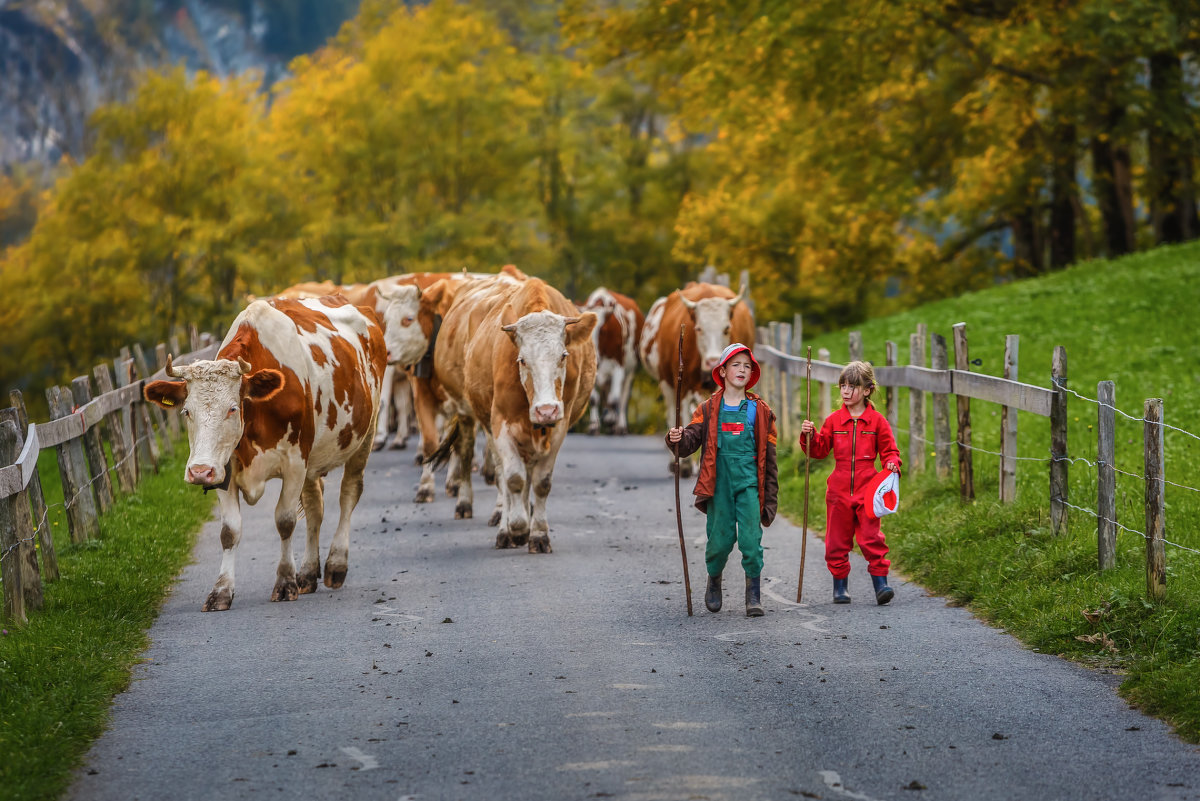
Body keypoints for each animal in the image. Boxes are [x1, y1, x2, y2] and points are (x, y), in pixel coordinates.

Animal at [141, 297, 386, 609]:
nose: (199, 471)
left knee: (348, 495)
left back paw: (335, 565)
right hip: (312, 460)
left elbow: (285, 521)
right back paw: (308, 573)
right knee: (315, 508)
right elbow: (230, 531)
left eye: (232, 408)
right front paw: (221, 591)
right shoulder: (225, 469)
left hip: (365, 435)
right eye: (186, 412)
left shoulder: (294, 463)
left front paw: (285, 583)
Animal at [432, 275, 600, 551]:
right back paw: (498, 521)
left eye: (563, 356)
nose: (546, 410)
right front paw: (517, 528)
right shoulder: (500, 423)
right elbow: (512, 479)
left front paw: (538, 534)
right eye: (522, 360)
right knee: (496, 471)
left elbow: (541, 483)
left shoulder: (559, 427)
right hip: (476, 417)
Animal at [578, 287, 643, 434]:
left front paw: (610, 420)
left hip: (630, 371)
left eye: (603, 331)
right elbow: (594, 399)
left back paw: (620, 425)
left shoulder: (619, 366)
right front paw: (594, 426)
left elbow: (615, 399)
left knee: (623, 397)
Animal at [638, 280, 748, 474]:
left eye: (727, 328)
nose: (713, 362)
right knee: (672, 412)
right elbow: (683, 416)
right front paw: (686, 464)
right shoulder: (682, 385)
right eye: (699, 328)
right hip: (667, 383)